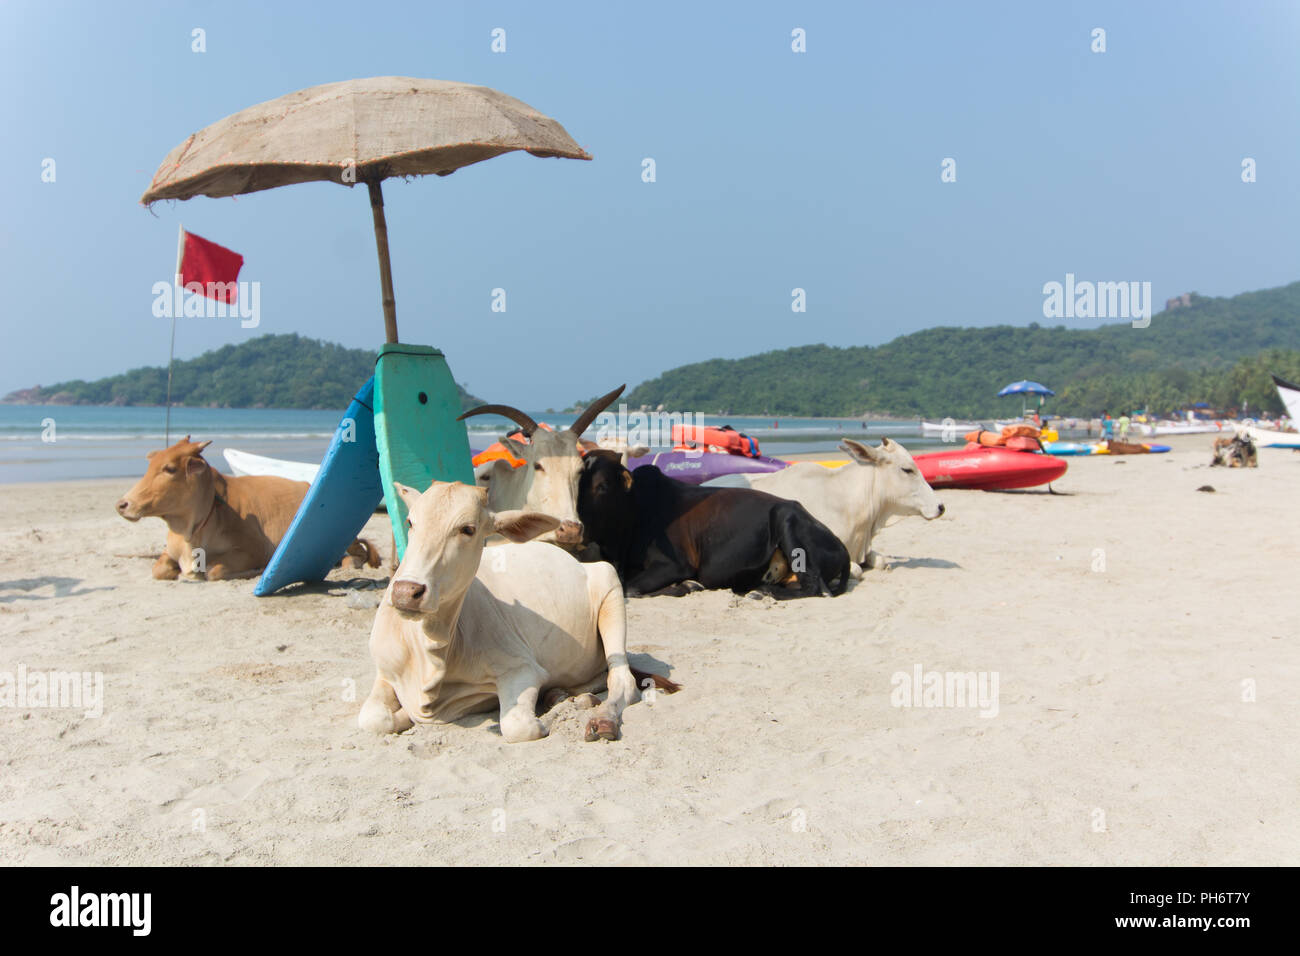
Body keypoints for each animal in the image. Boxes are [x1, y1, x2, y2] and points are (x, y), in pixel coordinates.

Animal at [114, 437, 379, 580]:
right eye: (150, 464)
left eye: (169, 468)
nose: (122, 504)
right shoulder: (169, 552)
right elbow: (158, 570)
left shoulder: (254, 550)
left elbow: (214, 571)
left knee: (357, 556)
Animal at [358, 481, 681, 743]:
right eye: (411, 522)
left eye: (467, 529)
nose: (406, 592)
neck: (430, 650)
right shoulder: (384, 672)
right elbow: (373, 718)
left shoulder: (522, 669)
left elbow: (518, 726)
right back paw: (562, 695)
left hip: (610, 586)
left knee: (621, 680)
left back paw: (598, 718)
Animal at [579, 455, 852, 598]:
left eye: (603, 485)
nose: (577, 526)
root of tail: (840, 544)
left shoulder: (675, 564)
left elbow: (630, 588)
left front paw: (687, 585)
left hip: (787, 517)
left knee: (813, 586)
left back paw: (762, 591)